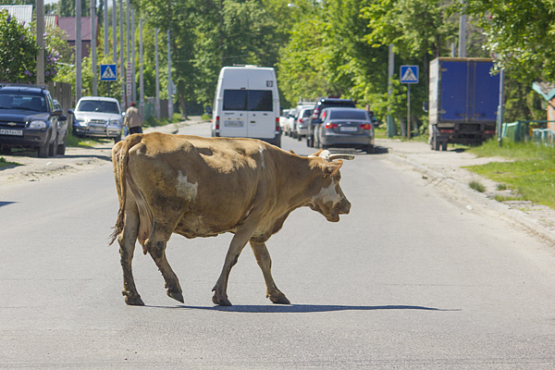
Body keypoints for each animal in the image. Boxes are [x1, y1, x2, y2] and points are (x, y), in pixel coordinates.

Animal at [110, 132, 352, 306]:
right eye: (338, 177)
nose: (347, 205)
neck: (280, 171)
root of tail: (144, 136)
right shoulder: (252, 221)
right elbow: (232, 255)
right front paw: (221, 295)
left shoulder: (258, 226)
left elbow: (265, 260)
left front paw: (276, 293)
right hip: (167, 212)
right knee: (155, 244)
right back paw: (174, 287)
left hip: (132, 209)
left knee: (126, 246)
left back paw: (132, 294)